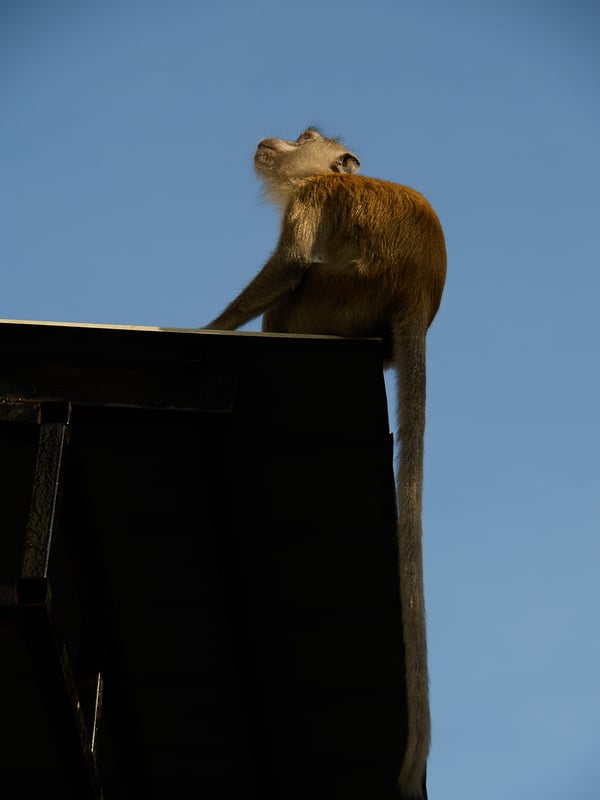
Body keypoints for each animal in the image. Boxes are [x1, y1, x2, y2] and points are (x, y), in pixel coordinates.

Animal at [204, 128, 446, 798]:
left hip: (338, 301)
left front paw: (212, 327)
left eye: (307, 141)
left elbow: (290, 264)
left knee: (293, 296)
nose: (276, 140)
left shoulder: (312, 196)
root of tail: (416, 295)